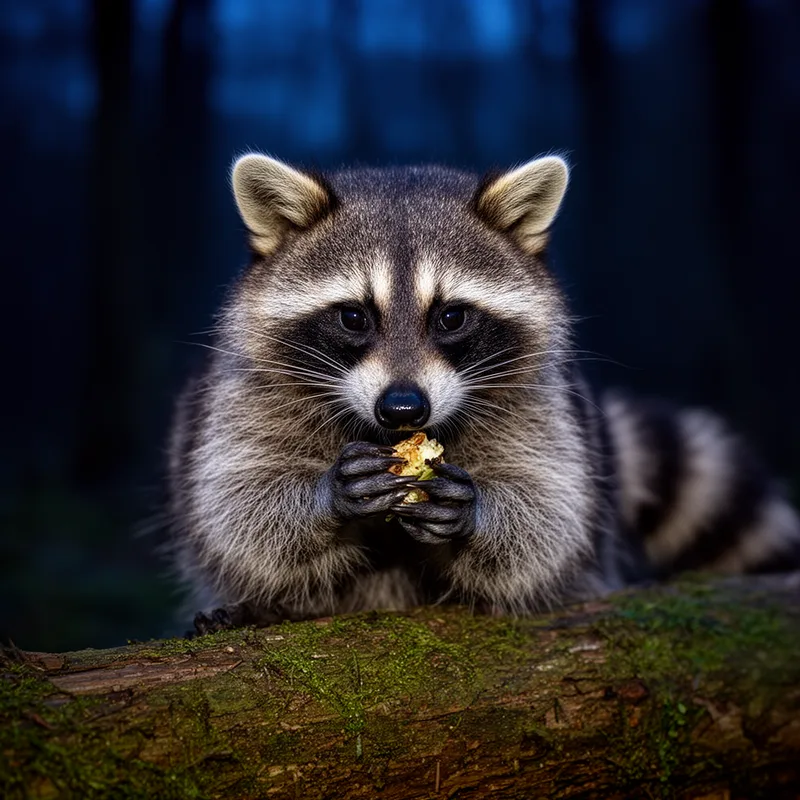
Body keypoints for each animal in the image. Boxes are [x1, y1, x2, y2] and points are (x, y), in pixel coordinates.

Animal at [169, 153, 800, 632]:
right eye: (353, 317)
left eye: (451, 317)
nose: (403, 408)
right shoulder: (248, 390)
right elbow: (238, 501)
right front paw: (327, 494)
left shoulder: (540, 403)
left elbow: (550, 514)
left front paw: (476, 511)